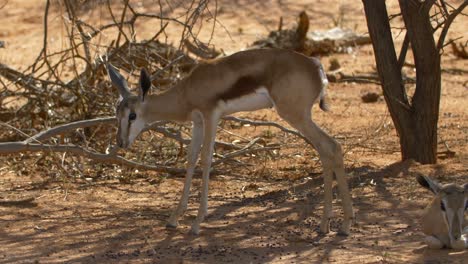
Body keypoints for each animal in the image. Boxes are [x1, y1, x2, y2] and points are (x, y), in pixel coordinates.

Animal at [107, 48, 354, 235]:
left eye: (132, 115)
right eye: (117, 114)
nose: (121, 142)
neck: (188, 90)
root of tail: (316, 67)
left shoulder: (211, 115)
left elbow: (206, 159)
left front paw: (197, 223)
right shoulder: (197, 121)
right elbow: (191, 159)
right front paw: (174, 218)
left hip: (295, 115)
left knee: (331, 146)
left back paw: (340, 225)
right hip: (301, 117)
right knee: (327, 149)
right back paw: (331, 224)